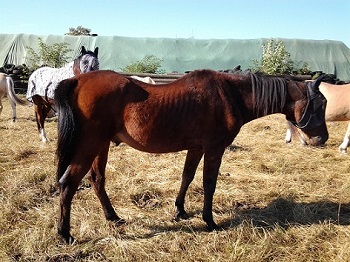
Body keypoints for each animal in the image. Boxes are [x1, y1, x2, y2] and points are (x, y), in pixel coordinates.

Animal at [54, 69, 328, 244]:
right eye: (321, 104)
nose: (322, 139)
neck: (231, 94)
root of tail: (77, 80)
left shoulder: (196, 148)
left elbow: (187, 176)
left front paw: (180, 211)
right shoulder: (215, 148)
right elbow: (209, 184)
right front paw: (210, 221)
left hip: (101, 147)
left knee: (97, 180)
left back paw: (113, 217)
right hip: (90, 146)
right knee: (68, 184)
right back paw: (65, 234)